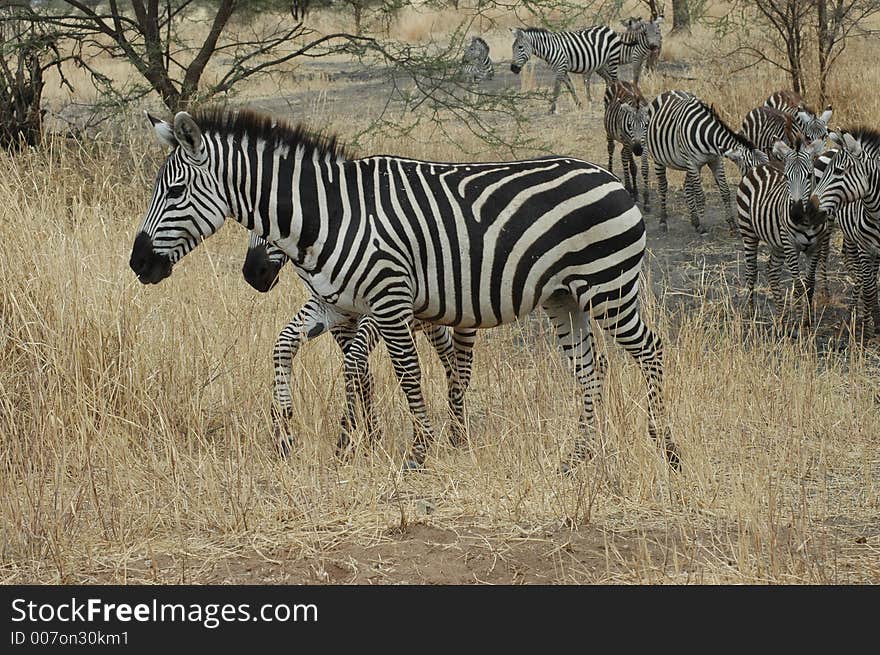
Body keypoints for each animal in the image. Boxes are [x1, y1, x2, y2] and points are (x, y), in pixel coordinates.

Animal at [237, 234, 478, 456]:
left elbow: (356, 365)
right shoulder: (339, 319)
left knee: (462, 366)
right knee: (449, 356)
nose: (253, 274)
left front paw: (349, 438)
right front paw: (370, 437)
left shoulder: (379, 309)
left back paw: (459, 434)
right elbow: (359, 372)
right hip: (431, 320)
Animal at [600, 79, 648, 210]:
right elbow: (631, 166)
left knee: (623, 155)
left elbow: (644, 168)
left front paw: (646, 199)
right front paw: (633, 192)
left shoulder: (645, 143)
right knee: (611, 149)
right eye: (630, 125)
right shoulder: (628, 141)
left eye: (646, 125)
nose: (638, 150)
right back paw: (611, 172)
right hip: (611, 132)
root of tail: (619, 81)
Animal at [644, 89, 768, 233]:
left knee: (687, 187)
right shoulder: (692, 163)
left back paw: (693, 219)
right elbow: (700, 196)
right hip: (659, 158)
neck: (708, 139)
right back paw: (663, 221)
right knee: (663, 186)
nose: (762, 196)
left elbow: (725, 192)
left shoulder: (716, 161)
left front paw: (731, 223)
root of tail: (668, 91)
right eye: (751, 168)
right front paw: (702, 224)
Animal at [736, 138, 832, 318]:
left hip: (777, 242)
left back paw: (781, 315)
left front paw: (808, 320)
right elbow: (798, 286)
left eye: (809, 175)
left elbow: (809, 284)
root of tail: (760, 165)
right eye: (787, 176)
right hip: (748, 231)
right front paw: (800, 320)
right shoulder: (791, 245)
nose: (796, 214)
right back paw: (751, 312)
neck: (807, 222)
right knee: (751, 271)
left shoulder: (815, 247)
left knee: (772, 271)